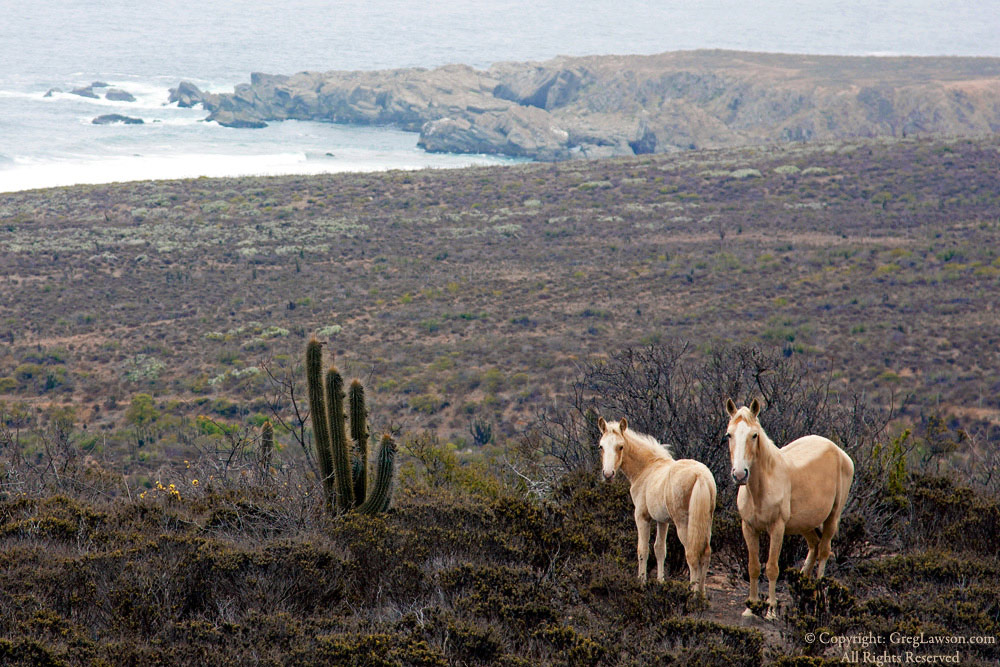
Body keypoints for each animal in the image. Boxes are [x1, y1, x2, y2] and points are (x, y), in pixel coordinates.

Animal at [596, 418, 716, 596]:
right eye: (601, 446)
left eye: (621, 446)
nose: (608, 474)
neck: (647, 468)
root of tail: (700, 475)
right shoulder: (662, 521)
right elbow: (660, 549)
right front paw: (660, 582)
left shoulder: (642, 517)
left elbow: (643, 550)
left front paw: (641, 583)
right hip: (706, 522)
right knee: (706, 553)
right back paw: (702, 594)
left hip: (683, 524)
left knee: (692, 555)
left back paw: (693, 595)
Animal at [724, 396, 856, 620]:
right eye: (729, 434)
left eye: (754, 435)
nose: (740, 474)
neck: (761, 488)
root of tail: (839, 451)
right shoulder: (749, 528)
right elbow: (753, 567)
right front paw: (750, 608)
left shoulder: (777, 529)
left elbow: (771, 568)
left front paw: (770, 610)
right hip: (806, 524)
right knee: (814, 546)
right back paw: (803, 589)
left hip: (833, 517)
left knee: (824, 551)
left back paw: (819, 598)